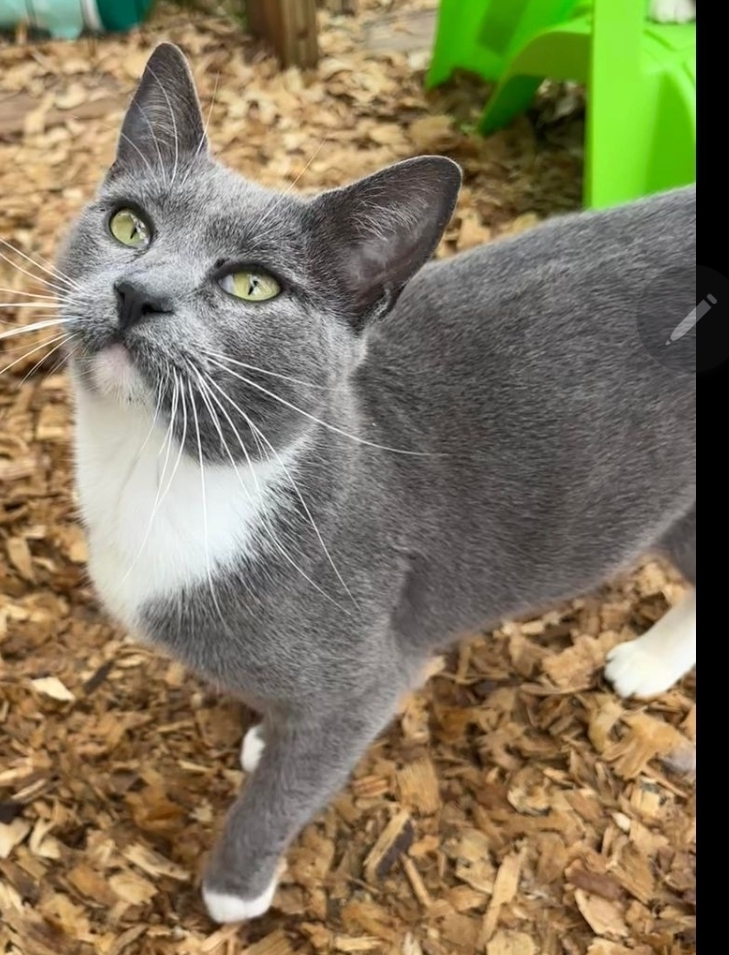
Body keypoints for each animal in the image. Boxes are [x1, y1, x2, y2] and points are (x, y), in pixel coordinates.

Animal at [55, 44, 692, 928]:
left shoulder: (365, 672)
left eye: (252, 285)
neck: (160, 466)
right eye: (127, 225)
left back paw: (644, 663)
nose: (136, 291)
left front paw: (235, 888)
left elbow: (288, 787)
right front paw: (264, 734)